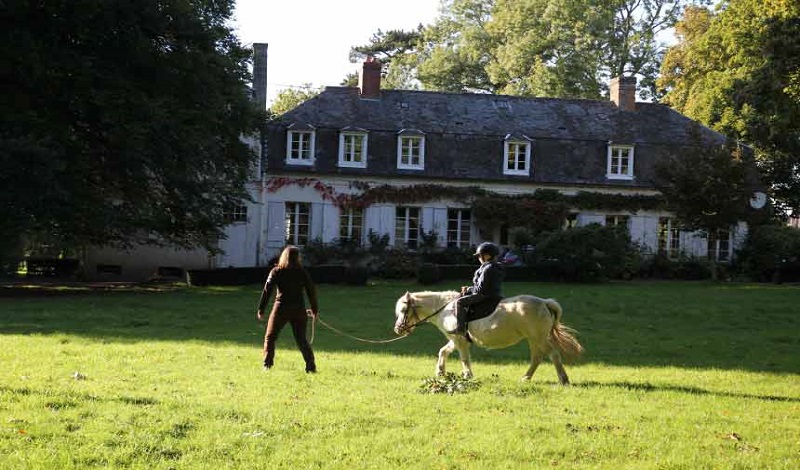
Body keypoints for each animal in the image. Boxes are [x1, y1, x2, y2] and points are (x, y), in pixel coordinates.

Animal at [392, 290, 580, 386]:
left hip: (538, 339)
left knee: (553, 355)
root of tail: (543, 302)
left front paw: (467, 375)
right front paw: (440, 371)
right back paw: (526, 378)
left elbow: (464, 358)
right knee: (537, 358)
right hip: (533, 340)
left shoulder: (459, 340)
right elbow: (443, 352)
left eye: (403, 310)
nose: (398, 329)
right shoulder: (456, 339)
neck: (447, 308)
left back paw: (563, 380)